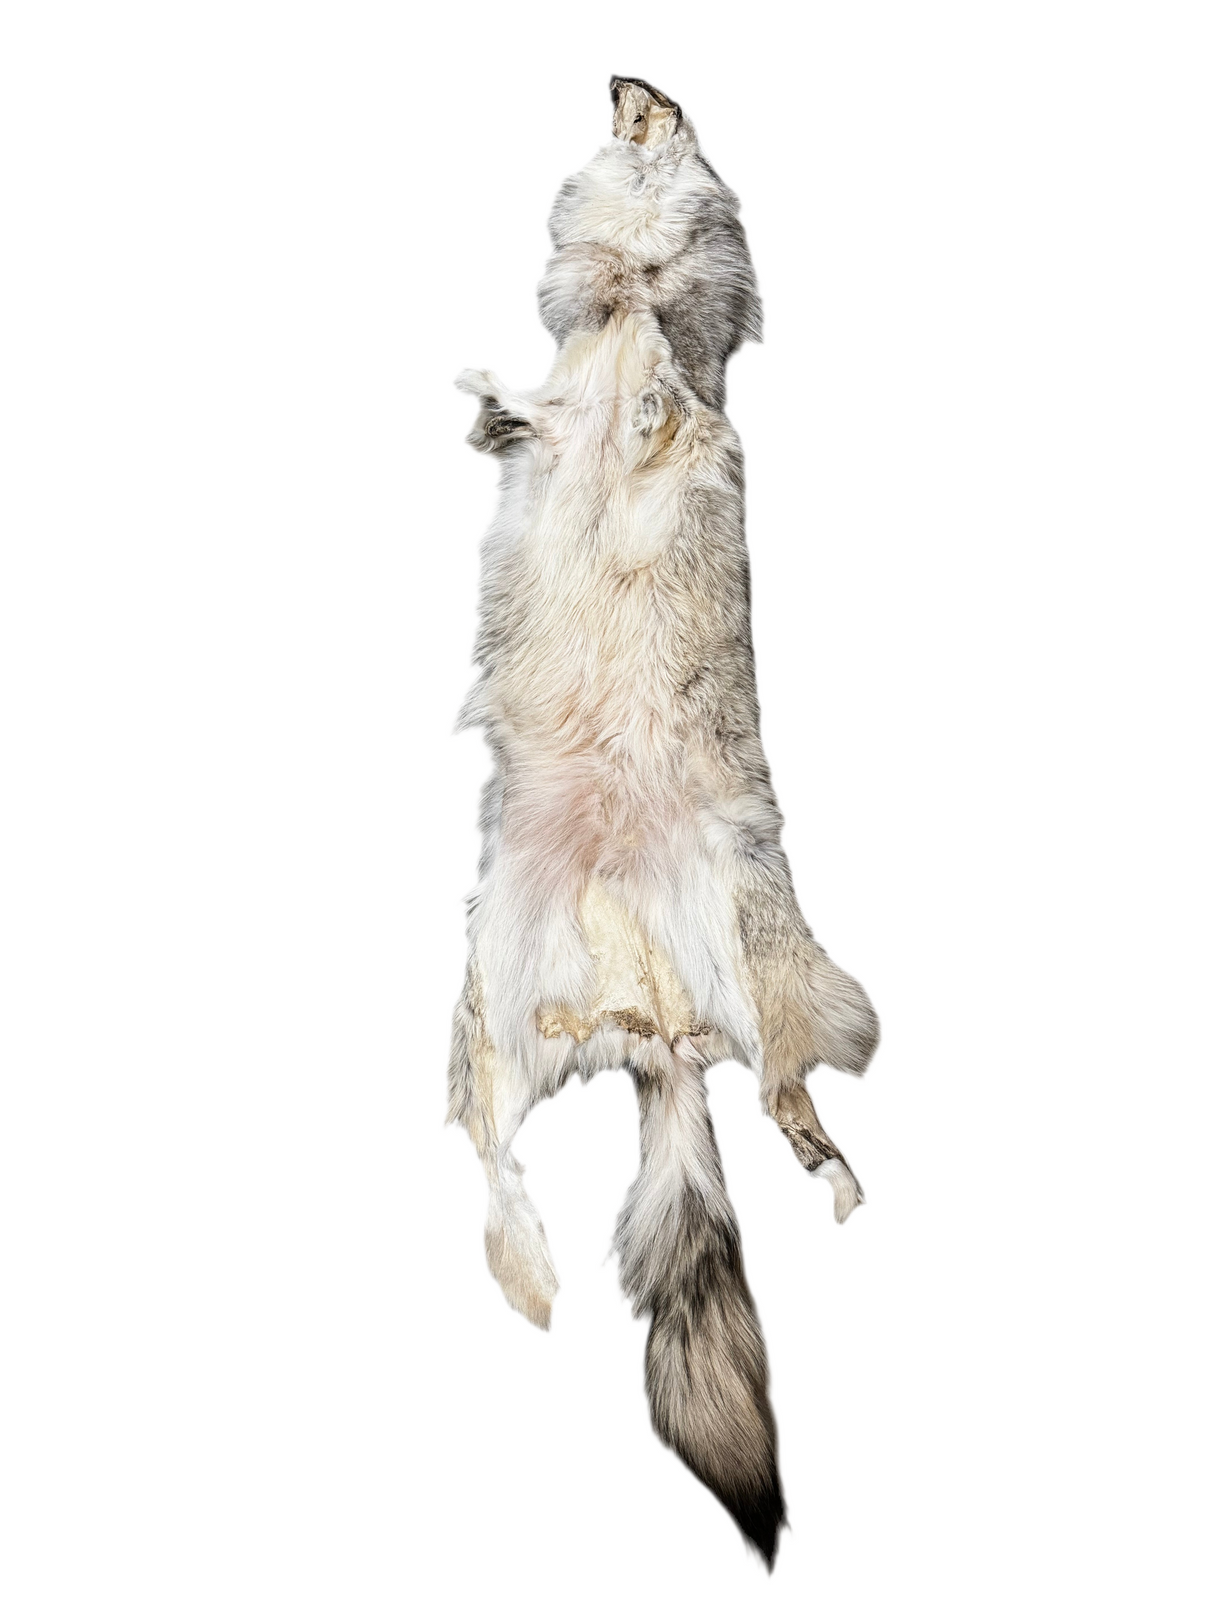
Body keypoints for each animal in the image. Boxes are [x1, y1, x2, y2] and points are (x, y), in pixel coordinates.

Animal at [448, 76, 879, 1567]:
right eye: (628, 116)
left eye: (672, 123)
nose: (639, 83)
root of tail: (657, 1020)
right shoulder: (561, 377)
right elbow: (535, 401)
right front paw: (495, 398)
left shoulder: (691, 373)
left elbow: (665, 387)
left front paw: (636, 383)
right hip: (496, 988)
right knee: (494, 1146)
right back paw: (527, 1268)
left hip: (763, 968)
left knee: (796, 1097)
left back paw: (831, 1175)